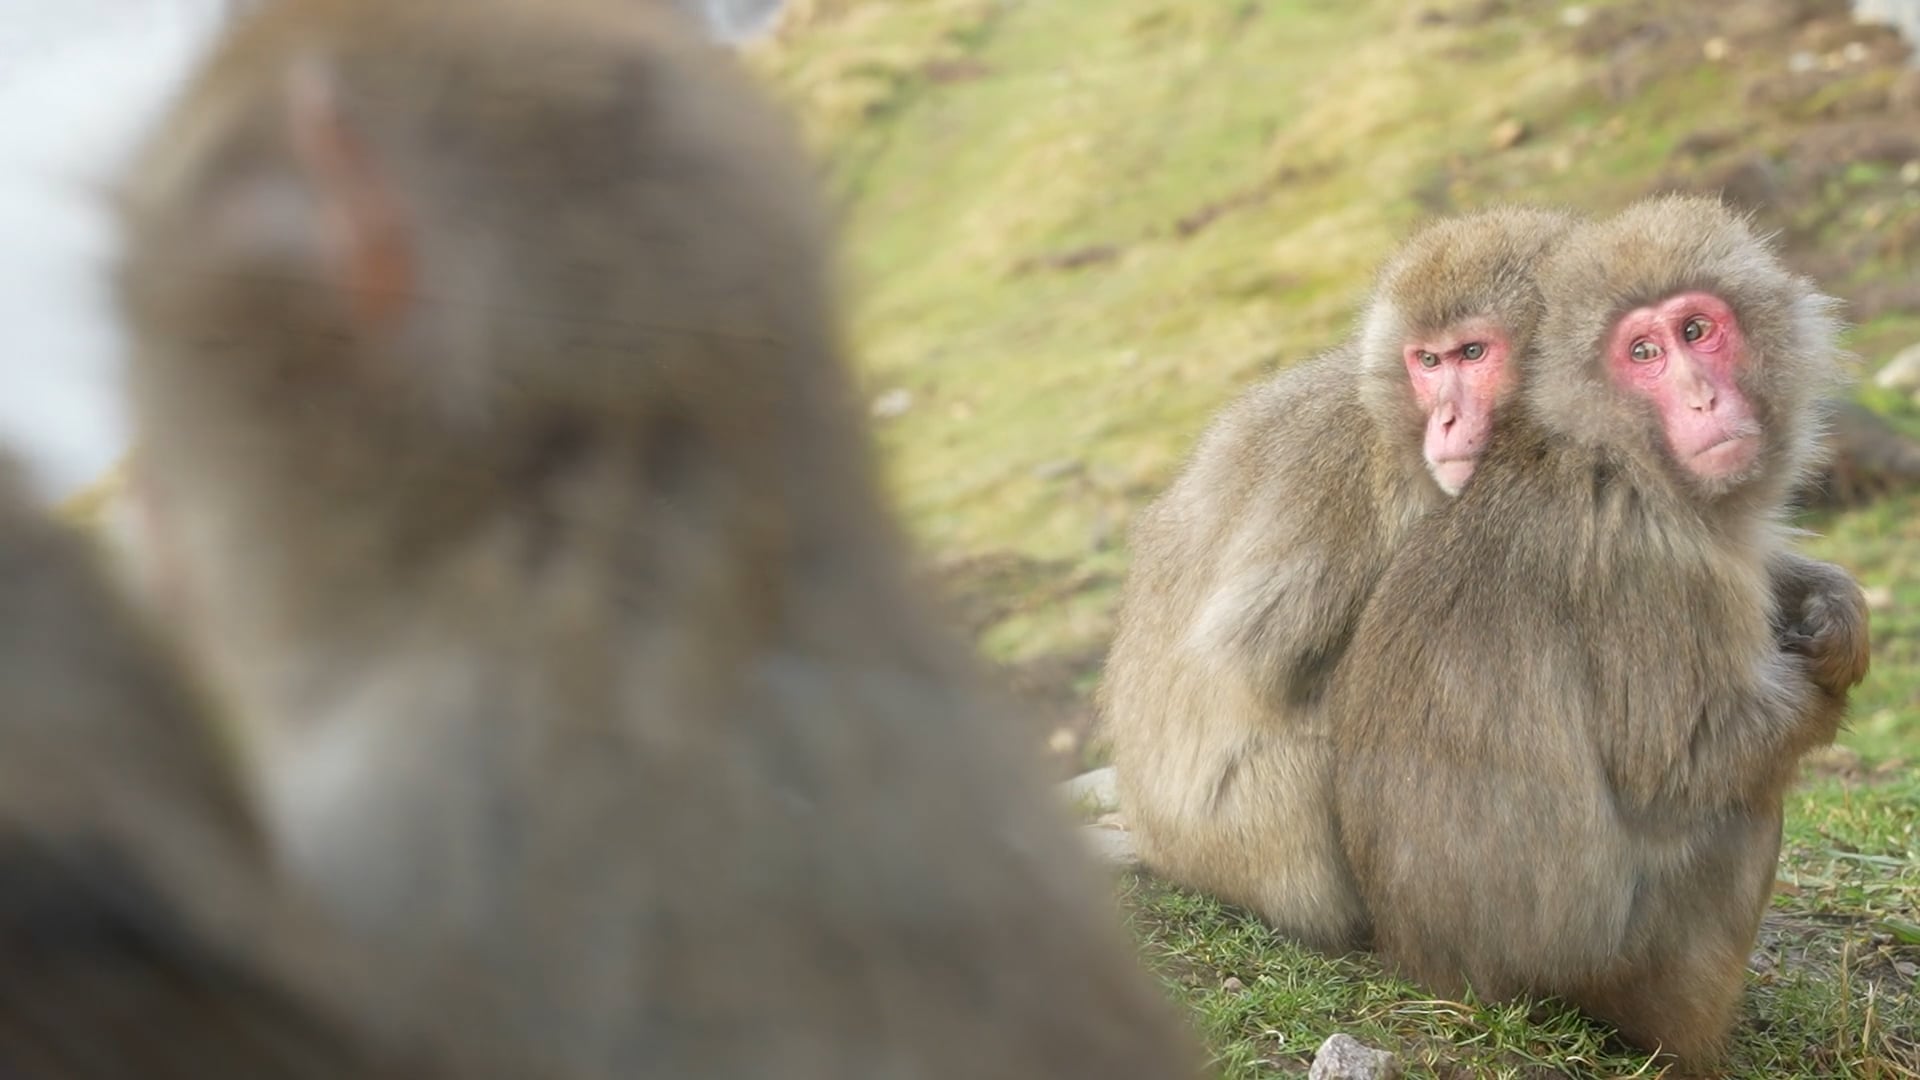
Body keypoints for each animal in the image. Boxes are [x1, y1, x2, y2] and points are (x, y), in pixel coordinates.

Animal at [1099, 205, 1581, 953]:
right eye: (1428, 361)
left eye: (1473, 354)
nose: (1447, 420)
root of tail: (1162, 847)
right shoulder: (1342, 480)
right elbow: (1256, 654)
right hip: (1260, 842)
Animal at [1326, 193, 1869, 1072]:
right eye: (1642, 352)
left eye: (1696, 331)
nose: (1700, 398)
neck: (1614, 448)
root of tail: (1428, 969)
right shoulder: (1649, 560)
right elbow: (1691, 759)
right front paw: (1825, 678)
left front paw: (1835, 610)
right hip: (1619, 971)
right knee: (1742, 809)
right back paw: (1699, 1052)